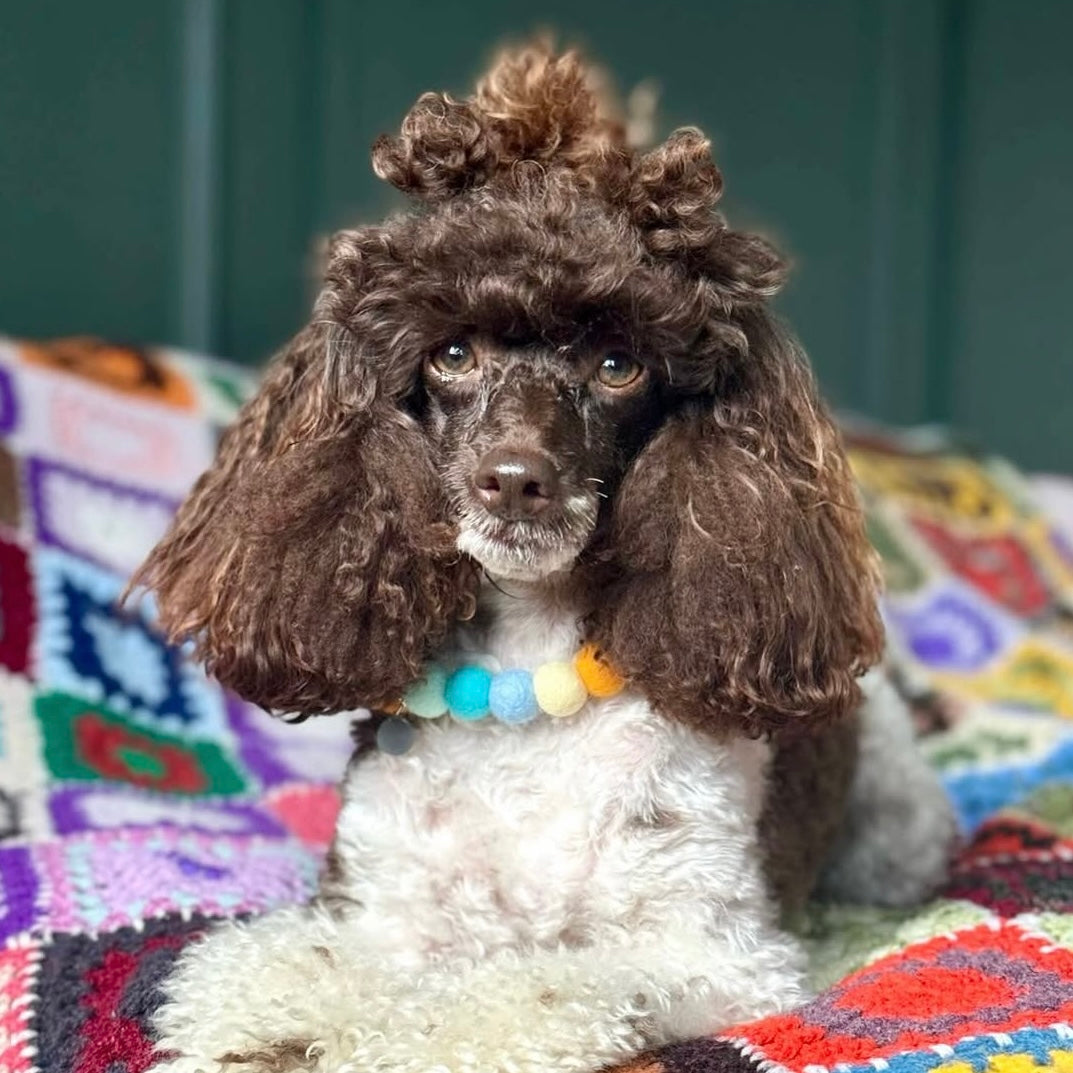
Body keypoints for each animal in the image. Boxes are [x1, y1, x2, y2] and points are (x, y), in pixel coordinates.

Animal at [136, 41, 957, 1073]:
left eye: (618, 364)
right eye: (451, 354)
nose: (514, 479)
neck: (524, 670)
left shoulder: (715, 952)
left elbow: (536, 985)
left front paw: (437, 1035)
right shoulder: (382, 909)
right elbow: (299, 968)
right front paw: (271, 1026)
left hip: (896, 830)